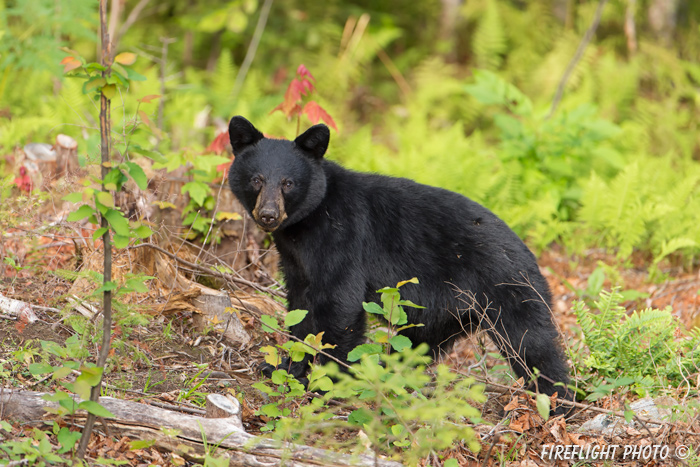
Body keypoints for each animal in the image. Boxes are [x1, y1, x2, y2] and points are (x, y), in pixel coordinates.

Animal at [227, 116, 572, 402]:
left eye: (288, 183)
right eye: (256, 179)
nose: (268, 214)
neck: (307, 225)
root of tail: (532, 259)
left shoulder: (342, 240)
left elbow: (340, 304)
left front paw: (329, 383)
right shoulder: (296, 262)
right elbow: (299, 309)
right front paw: (285, 367)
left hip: (508, 290)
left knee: (532, 345)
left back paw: (558, 402)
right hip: (446, 312)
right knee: (418, 344)